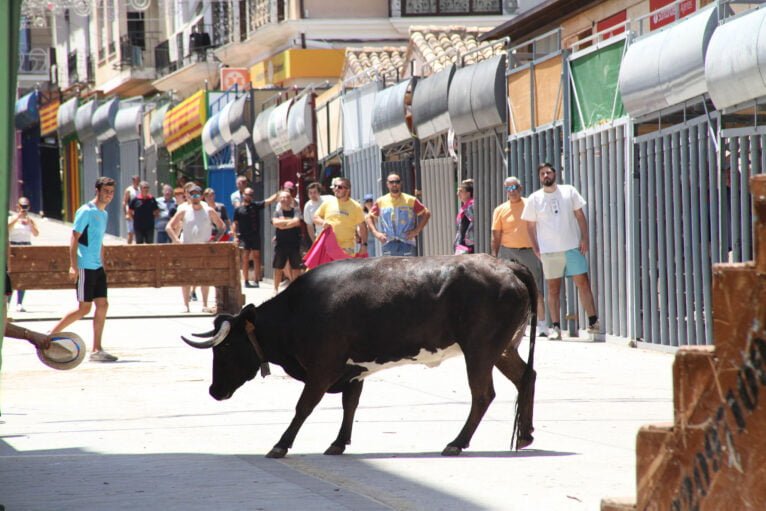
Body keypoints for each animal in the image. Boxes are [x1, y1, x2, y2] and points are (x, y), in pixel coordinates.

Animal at [184, 254, 540, 458]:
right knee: (526, 377)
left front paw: (281, 444)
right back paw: (524, 434)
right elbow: (350, 405)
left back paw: (456, 442)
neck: (298, 310)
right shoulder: (352, 372)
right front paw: (338, 443)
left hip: (479, 349)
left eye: (224, 347)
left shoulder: (322, 369)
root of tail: (507, 264)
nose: (214, 391)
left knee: (483, 394)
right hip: (503, 348)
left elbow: (303, 407)